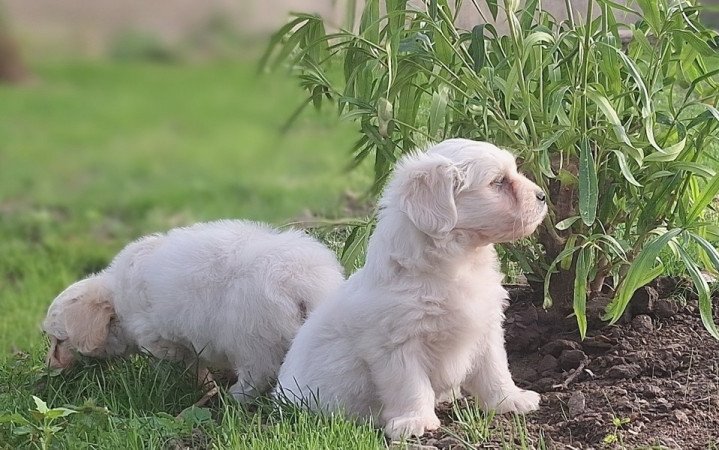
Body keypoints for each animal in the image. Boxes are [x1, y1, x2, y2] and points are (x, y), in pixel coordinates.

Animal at [43, 220, 344, 402]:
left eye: (59, 341)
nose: (49, 369)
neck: (117, 298)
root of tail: (303, 281)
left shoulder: (162, 341)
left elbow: (185, 364)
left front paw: (198, 386)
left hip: (253, 338)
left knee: (257, 374)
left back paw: (233, 398)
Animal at [276, 138, 544, 440]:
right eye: (498, 182)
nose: (543, 196)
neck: (459, 264)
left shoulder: (485, 327)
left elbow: (496, 369)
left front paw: (511, 400)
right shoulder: (398, 344)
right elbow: (410, 385)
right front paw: (415, 422)